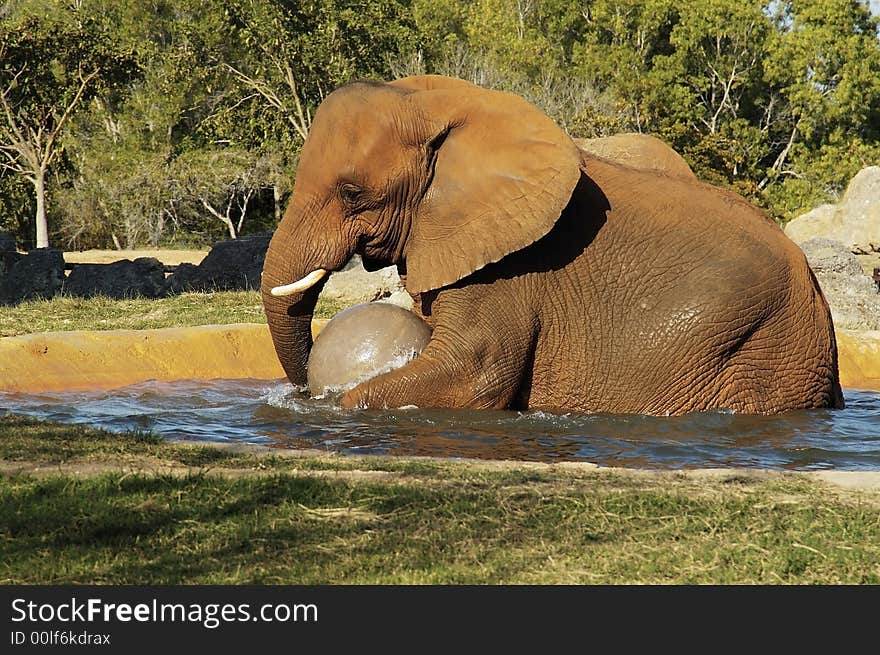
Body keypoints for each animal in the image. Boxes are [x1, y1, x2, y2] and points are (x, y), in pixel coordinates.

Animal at [260, 75, 840, 416]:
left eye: (352, 193)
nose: (307, 389)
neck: (442, 104)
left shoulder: (510, 268)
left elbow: (476, 372)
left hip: (764, 350)